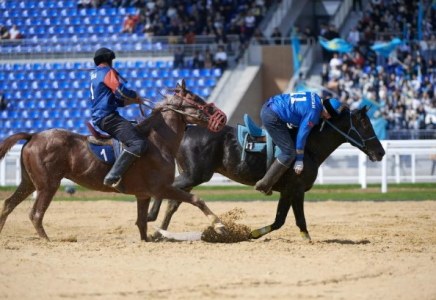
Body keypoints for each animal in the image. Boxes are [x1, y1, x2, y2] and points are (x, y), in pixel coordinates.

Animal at [0, 80, 230, 241]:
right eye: (197, 100)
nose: (222, 116)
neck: (158, 141)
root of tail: (33, 135)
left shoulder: (143, 195)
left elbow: (141, 223)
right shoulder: (162, 188)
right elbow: (196, 200)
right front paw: (219, 225)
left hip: (29, 183)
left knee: (9, 204)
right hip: (48, 185)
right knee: (36, 214)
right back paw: (46, 241)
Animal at [148, 105, 384, 239]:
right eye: (365, 124)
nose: (380, 152)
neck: (308, 146)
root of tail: (187, 129)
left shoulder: (288, 191)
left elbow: (281, 220)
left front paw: (252, 234)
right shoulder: (296, 189)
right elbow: (296, 220)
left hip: (191, 175)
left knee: (174, 201)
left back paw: (158, 232)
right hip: (196, 174)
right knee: (168, 190)